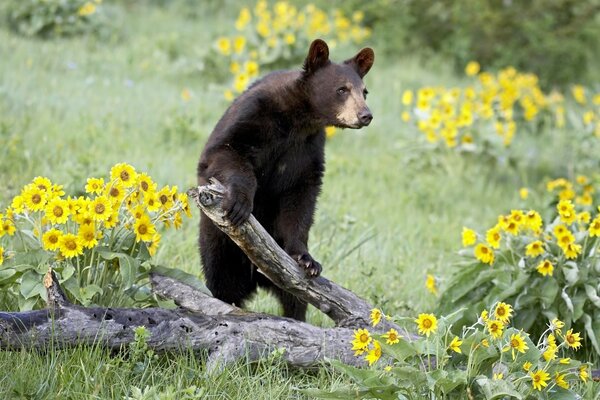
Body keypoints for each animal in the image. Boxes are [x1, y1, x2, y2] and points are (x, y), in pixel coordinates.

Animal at [199, 39, 372, 320]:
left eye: (364, 91)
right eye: (342, 89)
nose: (365, 115)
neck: (298, 120)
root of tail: (256, 279)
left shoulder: (308, 149)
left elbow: (300, 197)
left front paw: (306, 259)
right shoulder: (252, 115)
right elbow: (224, 152)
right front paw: (240, 204)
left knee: (295, 298)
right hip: (219, 245)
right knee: (222, 281)